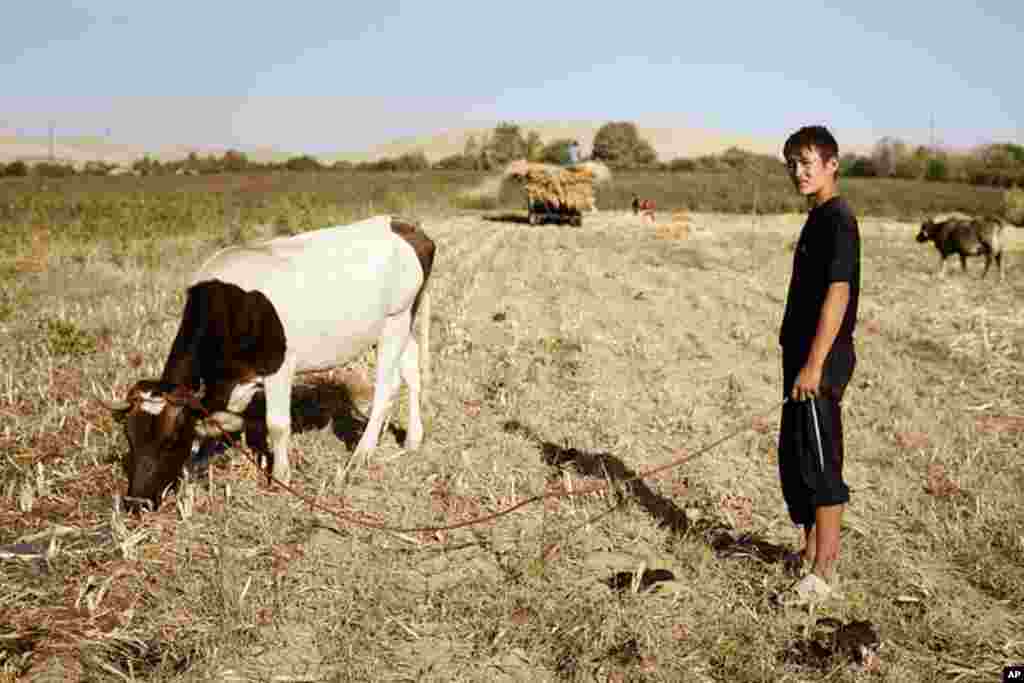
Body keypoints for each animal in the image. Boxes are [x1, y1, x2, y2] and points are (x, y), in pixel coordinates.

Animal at [103, 215, 436, 510]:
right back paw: (412, 439)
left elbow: (276, 425)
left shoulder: (279, 368)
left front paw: (280, 477)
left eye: (171, 441)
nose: (136, 503)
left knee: (386, 388)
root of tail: (403, 225)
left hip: (396, 320)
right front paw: (199, 462)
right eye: (130, 438)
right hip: (396, 326)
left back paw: (361, 455)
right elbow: (221, 421)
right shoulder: (239, 379)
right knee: (412, 372)